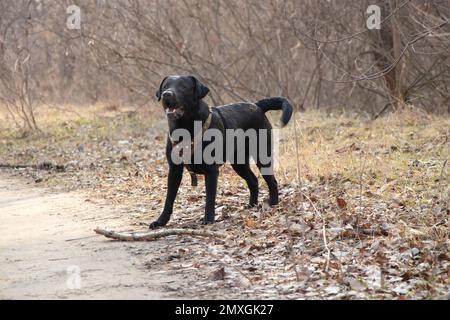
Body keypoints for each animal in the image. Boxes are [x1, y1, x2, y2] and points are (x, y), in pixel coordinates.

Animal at [149, 74, 294, 228]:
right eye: (165, 86)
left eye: (183, 86)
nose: (166, 94)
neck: (186, 128)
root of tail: (257, 105)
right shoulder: (174, 170)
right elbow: (169, 199)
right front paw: (161, 221)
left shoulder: (211, 171)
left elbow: (210, 198)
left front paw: (208, 219)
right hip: (239, 163)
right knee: (253, 180)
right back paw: (251, 205)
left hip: (262, 156)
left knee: (272, 181)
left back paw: (273, 205)